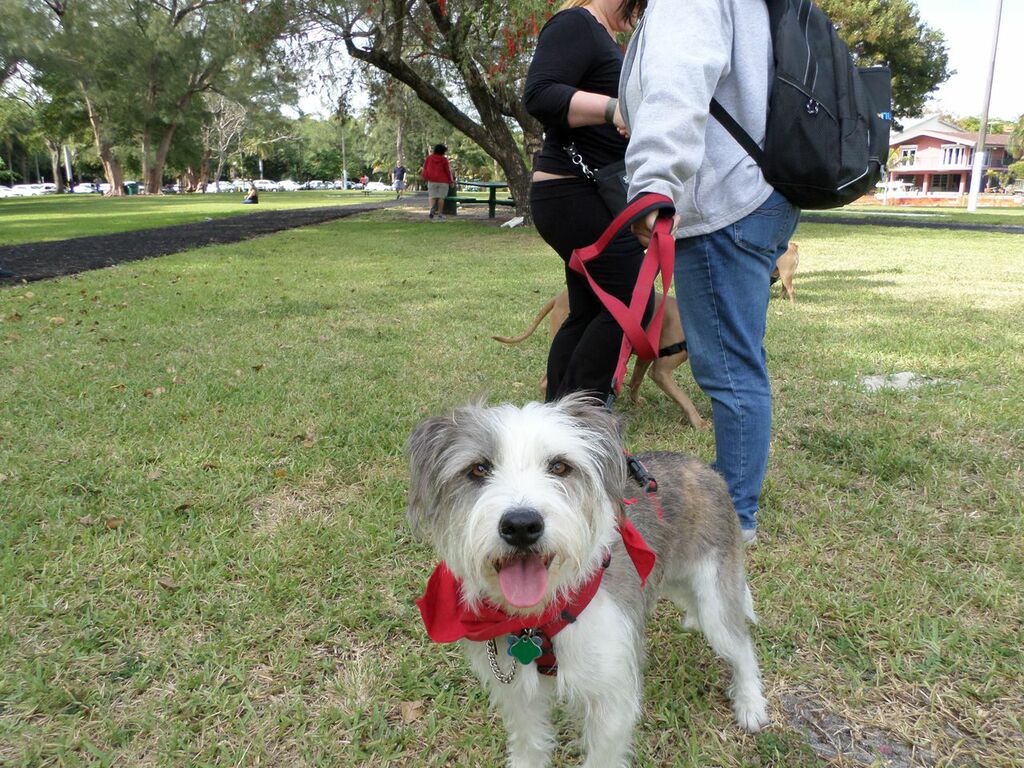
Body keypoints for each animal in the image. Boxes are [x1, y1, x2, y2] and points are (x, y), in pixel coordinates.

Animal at [403, 397, 765, 768]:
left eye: (560, 466)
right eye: (478, 469)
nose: (521, 525)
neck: (539, 618)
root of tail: (704, 468)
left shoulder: (612, 698)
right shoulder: (519, 695)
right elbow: (529, 744)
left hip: (715, 598)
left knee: (741, 646)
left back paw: (750, 704)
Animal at [491, 290, 708, 430]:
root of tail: (559, 297)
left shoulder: (645, 357)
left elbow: (636, 380)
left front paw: (636, 400)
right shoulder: (661, 372)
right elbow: (683, 397)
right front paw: (698, 422)